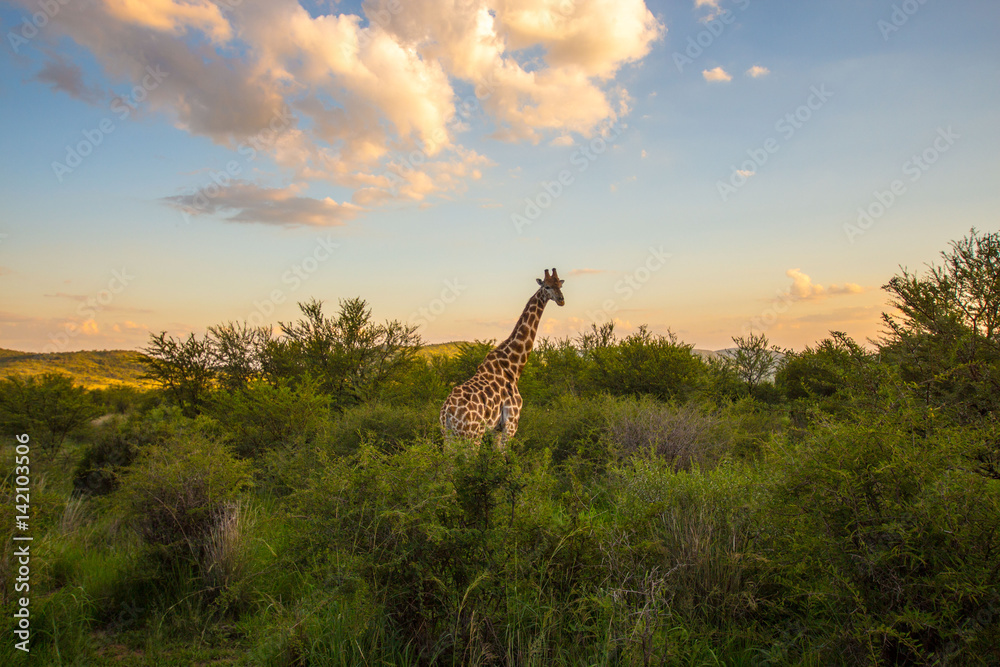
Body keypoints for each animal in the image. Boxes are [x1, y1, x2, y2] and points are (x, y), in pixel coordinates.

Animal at [440, 268, 566, 450]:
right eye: (547, 286)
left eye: (560, 285)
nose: (561, 300)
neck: (513, 366)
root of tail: (447, 412)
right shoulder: (511, 423)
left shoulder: (496, 429)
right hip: (472, 435)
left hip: (448, 436)